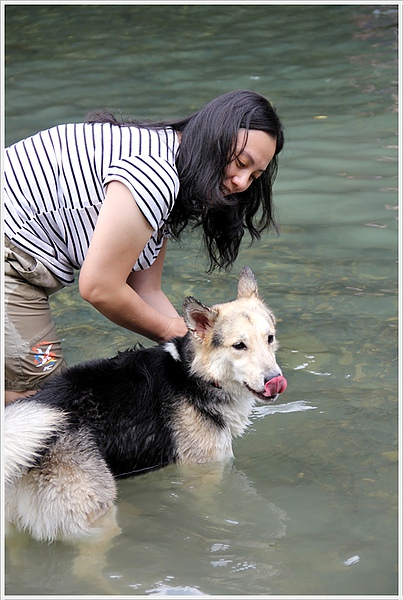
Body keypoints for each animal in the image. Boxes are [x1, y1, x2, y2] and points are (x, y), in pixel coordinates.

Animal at [3, 264, 288, 540]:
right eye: (239, 346)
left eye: (270, 338)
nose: (275, 380)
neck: (193, 374)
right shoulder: (205, 471)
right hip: (96, 521)